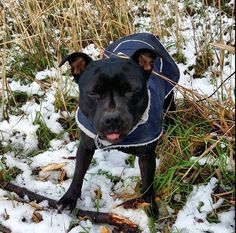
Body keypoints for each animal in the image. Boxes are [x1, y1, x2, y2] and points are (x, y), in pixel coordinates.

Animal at [57, 32, 179, 215]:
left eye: (131, 90)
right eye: (93, 92)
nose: (112, 119)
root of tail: (144, 34)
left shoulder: (147, 156)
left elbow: (148, 184)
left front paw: (149, 207)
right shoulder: (85, 146)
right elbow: (79, 173)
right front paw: (69, 198)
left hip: (169, 93)